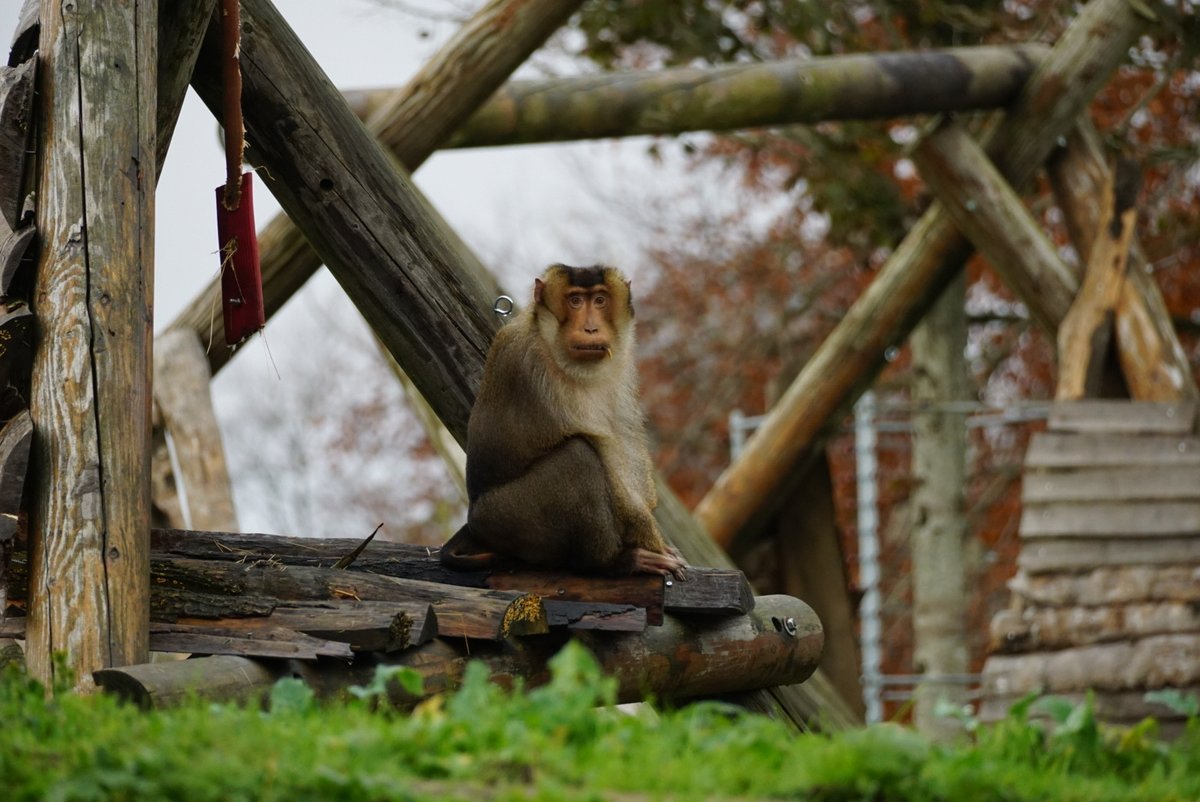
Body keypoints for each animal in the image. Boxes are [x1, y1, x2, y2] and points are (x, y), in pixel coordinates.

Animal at [439, 264, 686, 579]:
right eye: (575, 301)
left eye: (600, 300)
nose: (591, 328)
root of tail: (474, 517)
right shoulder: (536, 369)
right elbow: (602, 448)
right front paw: (648, 544)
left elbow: (625, 437)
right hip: (507, 517)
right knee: (578, 456)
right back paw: (610, 562)